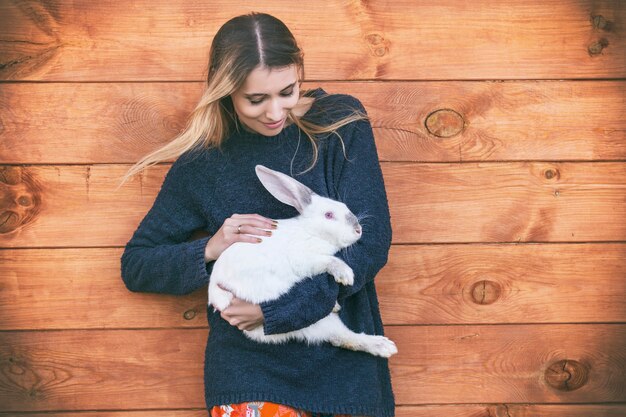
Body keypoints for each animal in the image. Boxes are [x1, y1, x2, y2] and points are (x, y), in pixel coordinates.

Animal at [207, 164, 398, 356]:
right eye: (329, 215)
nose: (358, 230)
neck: (310, 231)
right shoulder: (305, 260)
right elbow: (329, 261)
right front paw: (346, 276)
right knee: (342, 337)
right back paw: (383, 346)